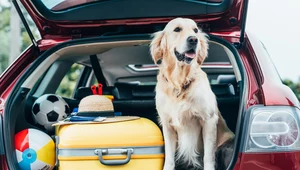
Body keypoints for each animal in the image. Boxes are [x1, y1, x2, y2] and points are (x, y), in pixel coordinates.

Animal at [150, 17, 234, 170]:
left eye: (195, 30)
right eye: (177, 29)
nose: (194, 40)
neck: (180, 83)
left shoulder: (208, 120)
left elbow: (208, 156)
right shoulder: (167, 124)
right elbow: (169, 157)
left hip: (226, 146)